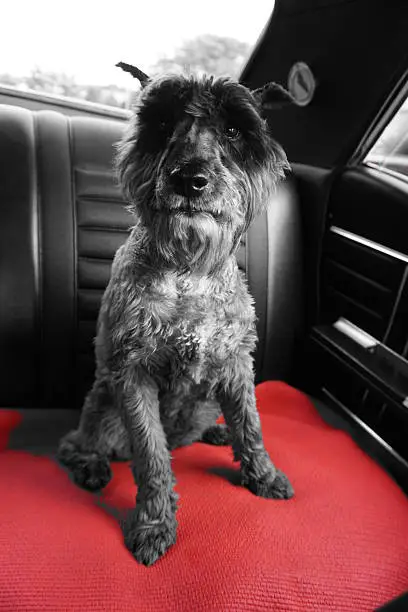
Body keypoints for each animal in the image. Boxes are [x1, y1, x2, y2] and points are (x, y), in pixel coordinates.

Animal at [56, 69, 294, 568]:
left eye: (234, 129)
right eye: (163, 123)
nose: (190, 179)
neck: (189, 272)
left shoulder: (236, 364)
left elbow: (251, 425)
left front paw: (263, 476)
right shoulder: (132, 375)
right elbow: (151, 457)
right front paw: (153, 524)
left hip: (204, 402)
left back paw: (216, 434)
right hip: (101, 405)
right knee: (77, 444)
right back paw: (91, 465)